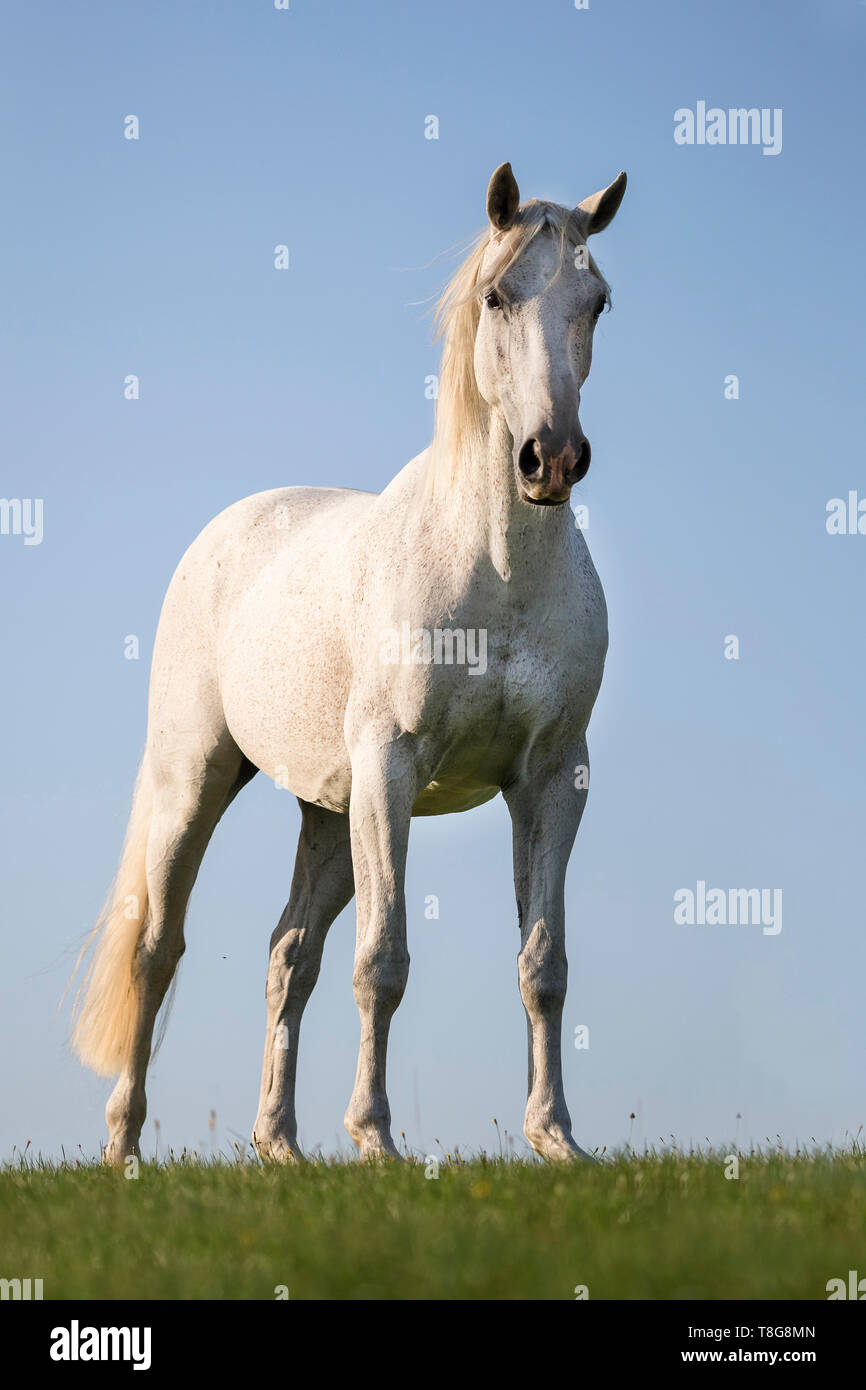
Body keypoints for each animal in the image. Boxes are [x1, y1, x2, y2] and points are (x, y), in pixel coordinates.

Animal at [70, 161, 627, 1164]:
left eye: (597, 301)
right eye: (496, 295)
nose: (552, 458)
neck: (496, 572)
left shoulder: (552, 779)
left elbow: (544, 965)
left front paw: (556, 1136)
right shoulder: (391, 768)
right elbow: (384, 961)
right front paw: (374, 1137)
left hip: (329, 813)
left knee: (288, 956)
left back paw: (280, 1146)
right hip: (197, 783)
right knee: (156, 952)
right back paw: (125, 1149)